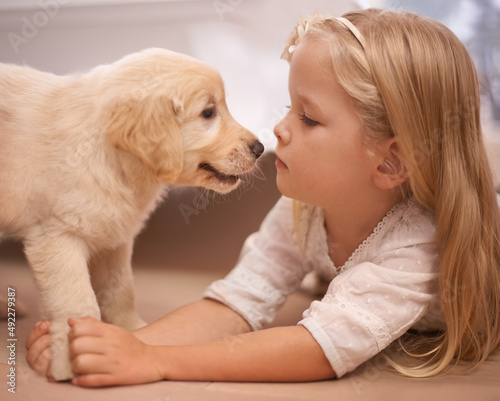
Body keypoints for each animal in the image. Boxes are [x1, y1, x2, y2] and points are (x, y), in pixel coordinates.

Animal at [0, 48, 266, 380]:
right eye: (208, 112)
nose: (260, 148)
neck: (112, 156)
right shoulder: (57, 235)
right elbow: (77, 300)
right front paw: (68, 361)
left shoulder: (115, 235)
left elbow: (122, 290)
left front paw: (133, 333)